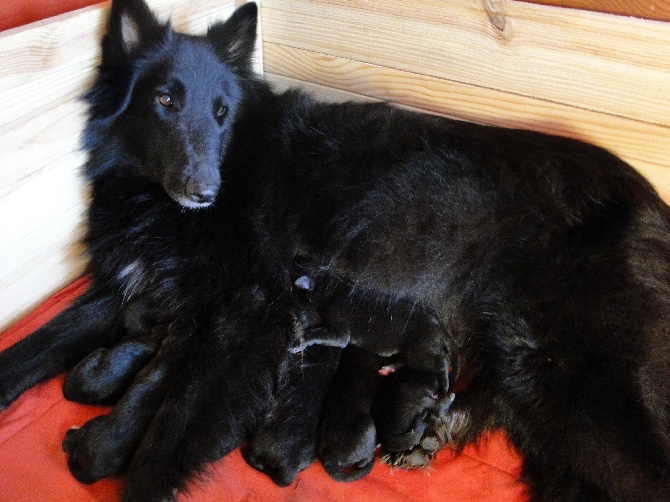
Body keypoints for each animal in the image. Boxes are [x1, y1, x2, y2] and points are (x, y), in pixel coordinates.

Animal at [1, 0, 670, 502]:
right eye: (164, 100)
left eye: (221, 112)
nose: (205, 190)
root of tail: (654, 206)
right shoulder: (134, 285)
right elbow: (36, 346)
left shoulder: (244, 318)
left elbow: (165, 432)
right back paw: (435, 430)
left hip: (577, 387)